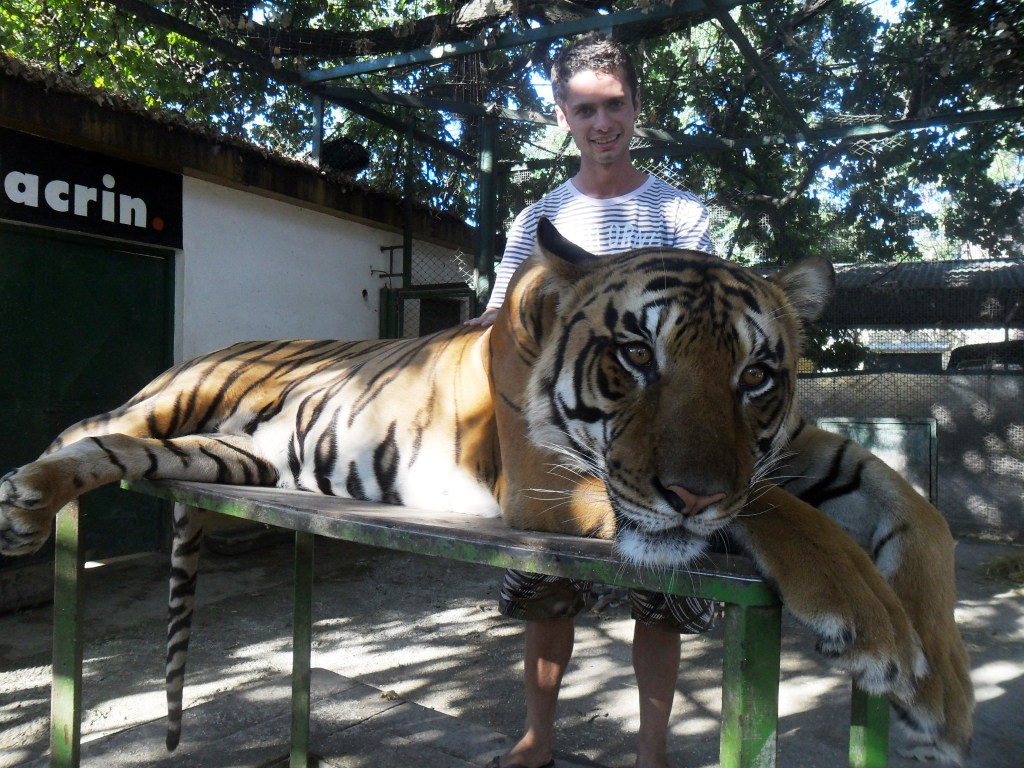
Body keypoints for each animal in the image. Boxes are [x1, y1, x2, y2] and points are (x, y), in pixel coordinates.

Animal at [0, 218, 971, 763]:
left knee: (117, 448)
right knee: (88, 420)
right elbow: (778, 511)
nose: (694, 496)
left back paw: (36, 502)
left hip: (228, 459)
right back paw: (21, 499)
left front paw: (947, 698)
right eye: (635, 355)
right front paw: (877, 627)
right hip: (181, 394)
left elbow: (920, 515)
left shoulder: (794, 449)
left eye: (757, 375)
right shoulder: (550, 486)